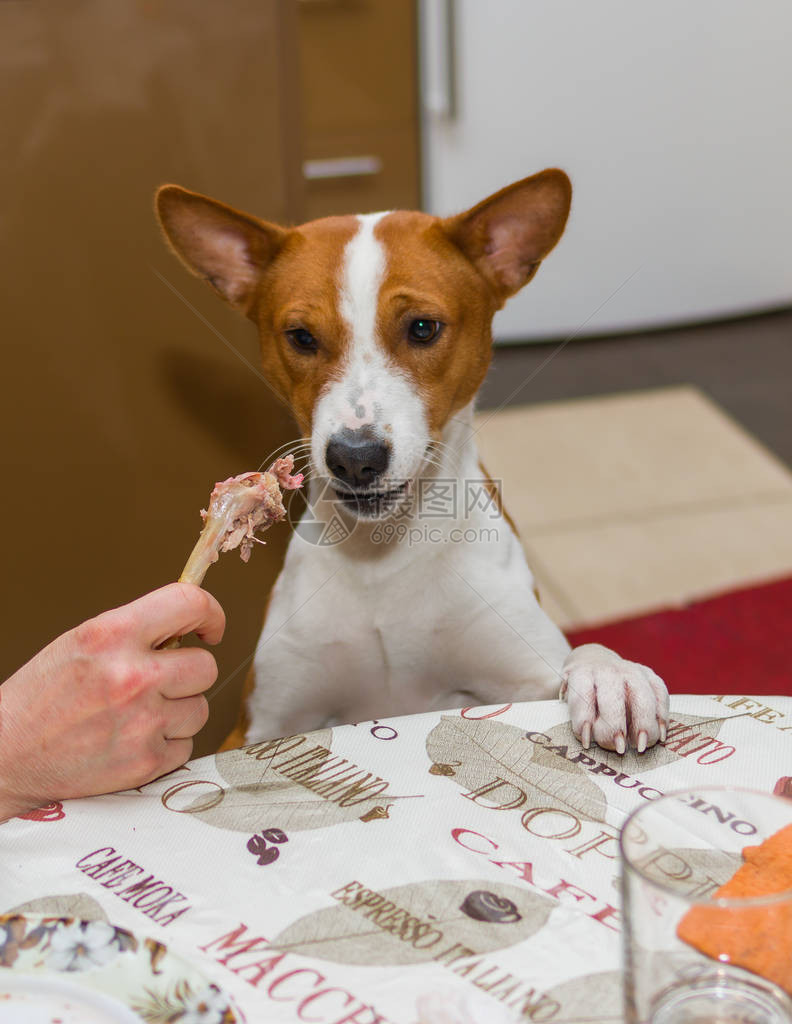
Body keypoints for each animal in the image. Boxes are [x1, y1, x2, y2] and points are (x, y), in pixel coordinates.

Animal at [154, 169, 668, 753]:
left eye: (422, 328)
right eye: (301, 337)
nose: (355, 459)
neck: (383, 562)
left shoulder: (525, 675)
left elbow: (582, 653)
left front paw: (613, 675)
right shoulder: (257, 728)